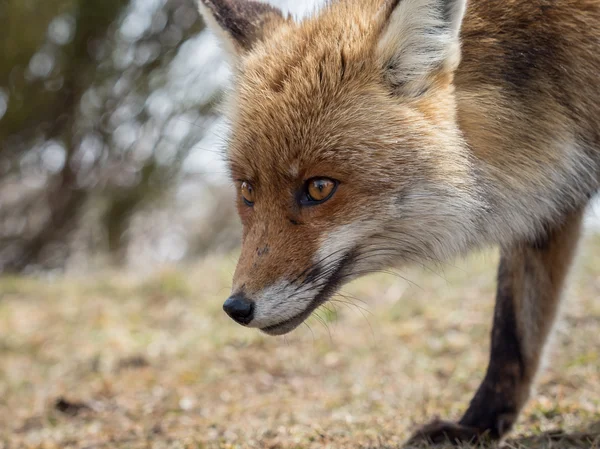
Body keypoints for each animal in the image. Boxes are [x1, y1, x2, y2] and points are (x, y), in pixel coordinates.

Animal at [199, 0, 596, 442]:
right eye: (248, 191)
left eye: (319, 187)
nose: (236, 308)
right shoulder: (550, 201)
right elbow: (513, 334)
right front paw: (475, 427)